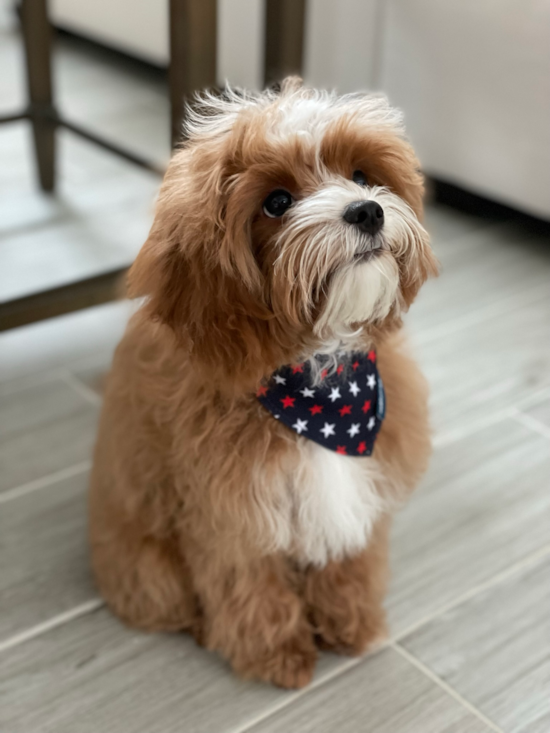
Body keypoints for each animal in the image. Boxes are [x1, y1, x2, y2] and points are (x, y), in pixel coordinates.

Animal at [92, 78, 442, 688]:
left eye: (361, 174)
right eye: (276, 202)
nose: (367, 210)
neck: (316, 380)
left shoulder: (360, 487)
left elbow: (349, 558)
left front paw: (352, 624)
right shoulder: (228, 513)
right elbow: (249, 586)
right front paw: (279, 655)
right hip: (150, 568)